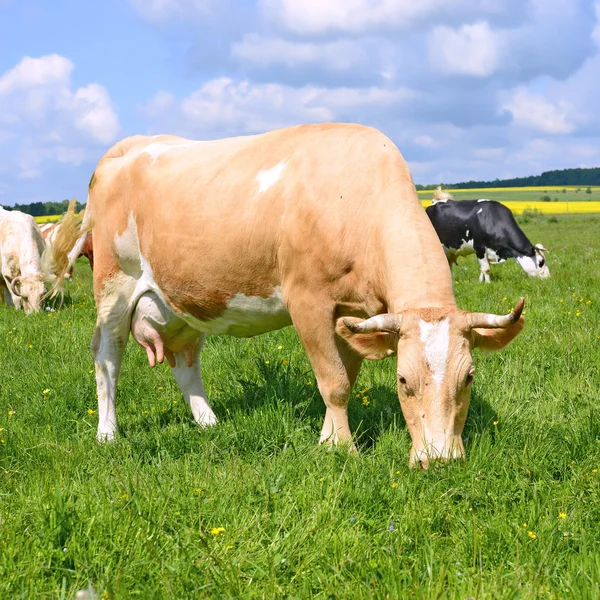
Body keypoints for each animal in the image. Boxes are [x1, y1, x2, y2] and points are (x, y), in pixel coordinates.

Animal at [48, 124, 524, 466]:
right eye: (403, 380)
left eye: (469, 377)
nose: (440, 460)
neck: (356, 199)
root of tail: (128, 146)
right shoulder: (307, 300)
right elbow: (333, 382)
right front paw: (343, 450)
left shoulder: (354, 314)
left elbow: (345, 378)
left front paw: (328, 439)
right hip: (114, 285)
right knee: (107, 358)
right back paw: (108, 434)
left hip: (182, 300)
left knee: (185, 364)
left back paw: (209, 423)